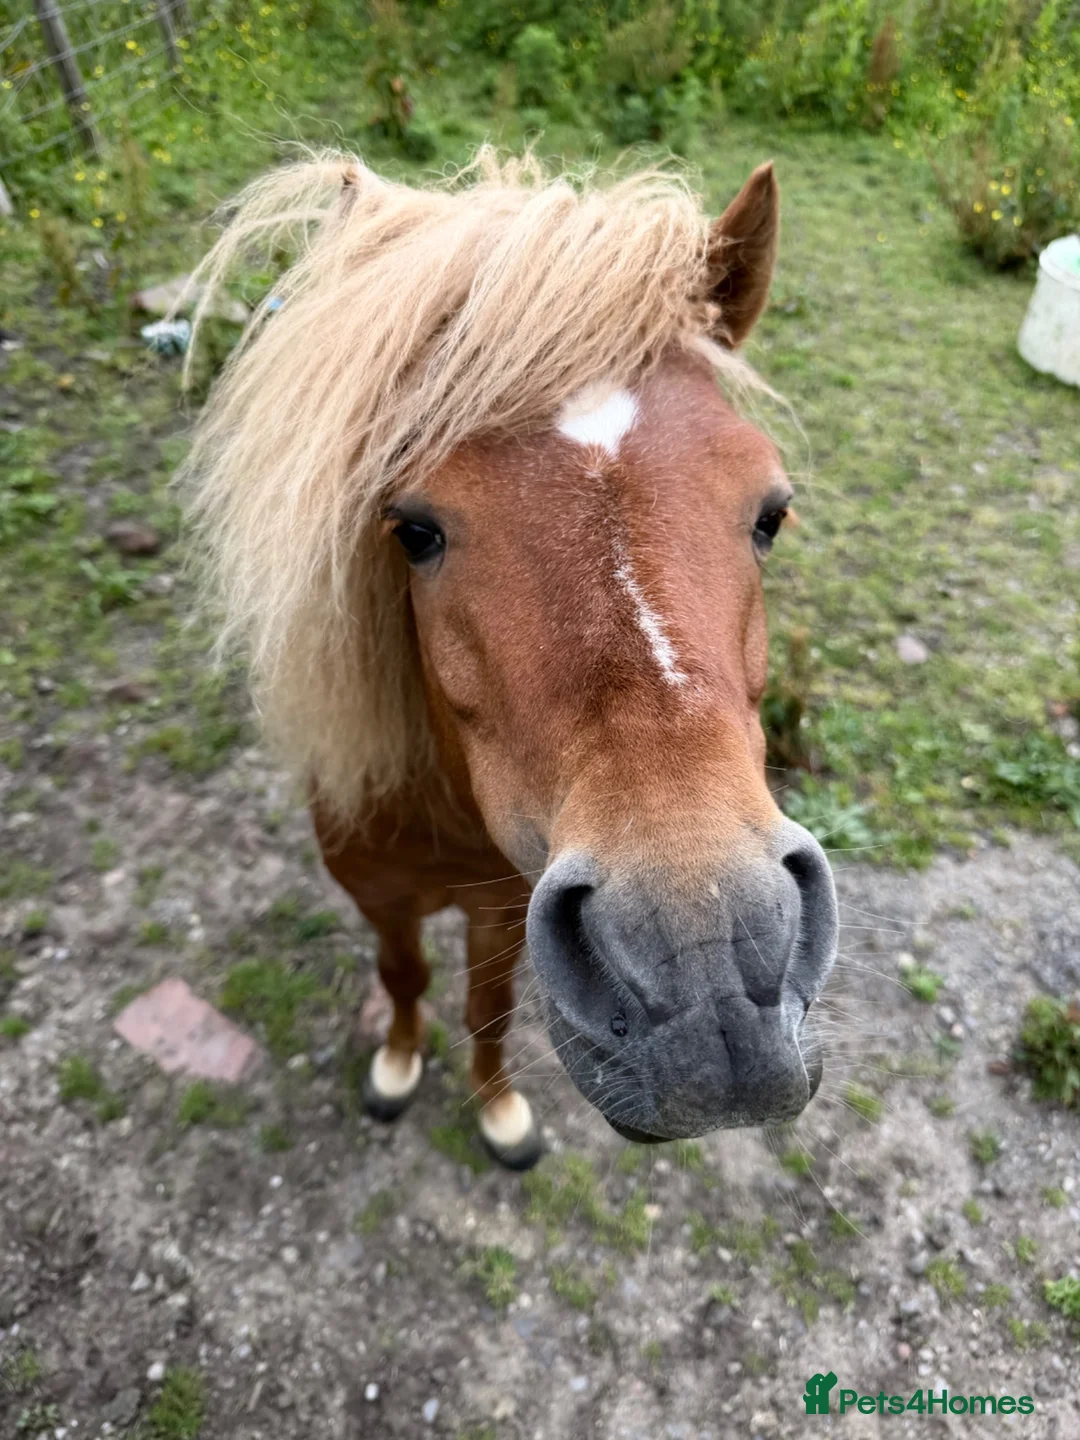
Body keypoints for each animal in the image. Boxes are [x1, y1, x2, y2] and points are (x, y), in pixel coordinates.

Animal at [183, 149, 838, 1171]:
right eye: (413, 529)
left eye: (771, 512)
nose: (710, 973)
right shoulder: (381, 896)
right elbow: (404, 978)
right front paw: (396, 1068)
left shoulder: (502, 907)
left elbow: (486, 1007)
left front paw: (496, 1110)